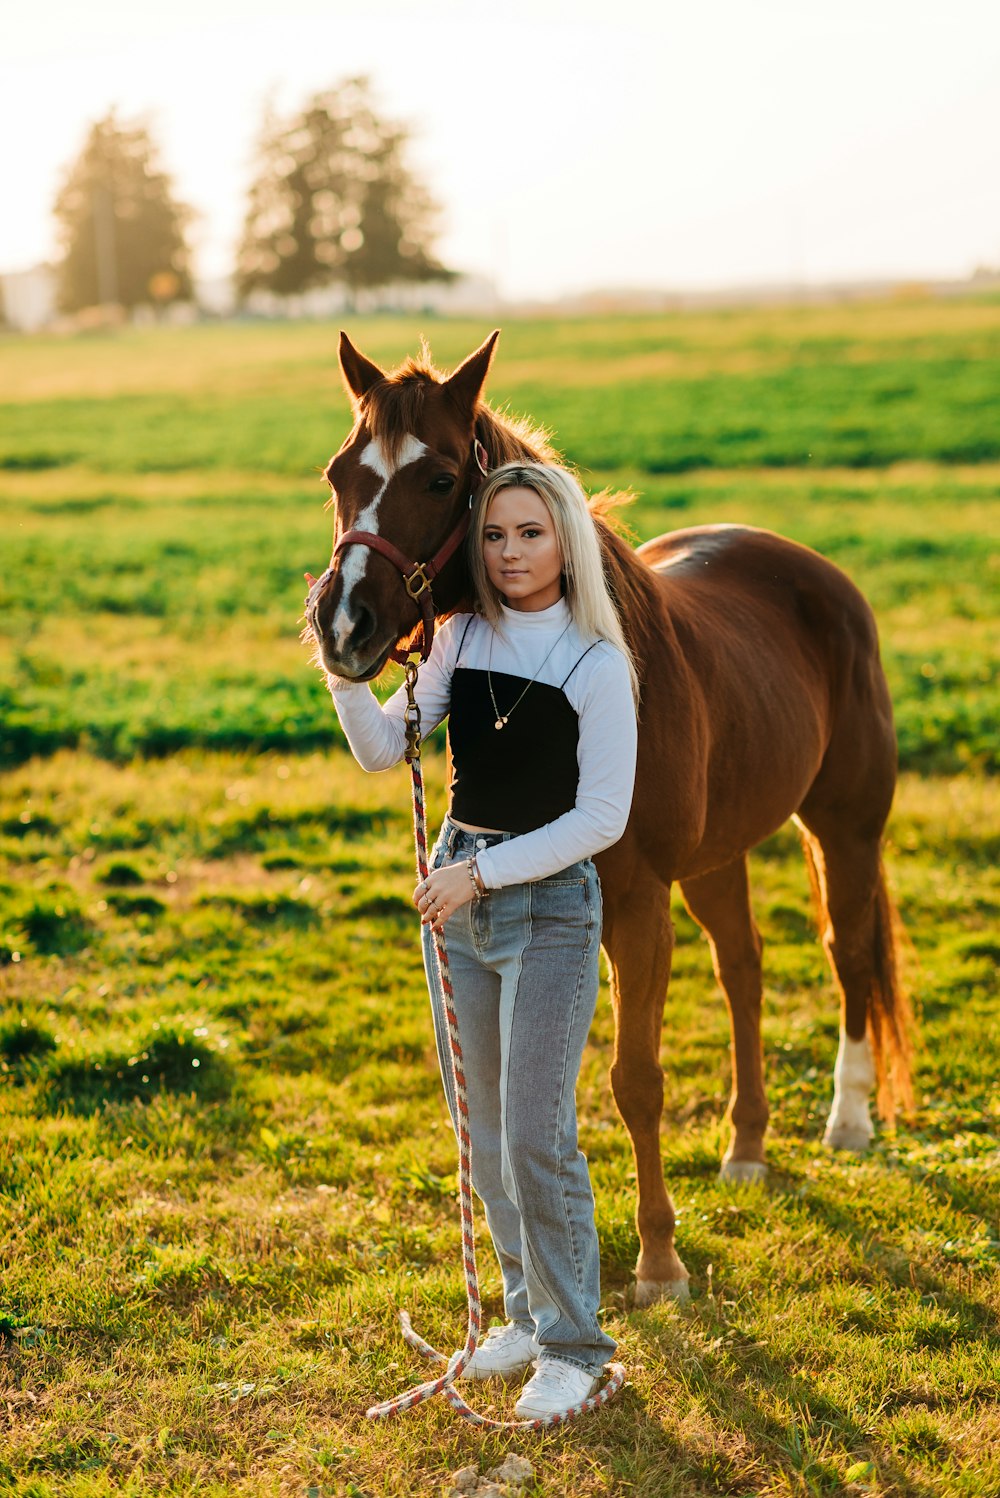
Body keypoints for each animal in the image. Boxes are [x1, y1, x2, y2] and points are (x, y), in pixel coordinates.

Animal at [308, 328, 910, 1300]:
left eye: (439, 479)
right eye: (338, 474)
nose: (344, 626)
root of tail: (818, 576)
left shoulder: (634, 902)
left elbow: (636, 1079)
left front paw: (660, 1259)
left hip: (843, 830)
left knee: (849, 953)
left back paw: (848, 1121)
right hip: (718, 856)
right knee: (744, 968)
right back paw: (747, 1148)